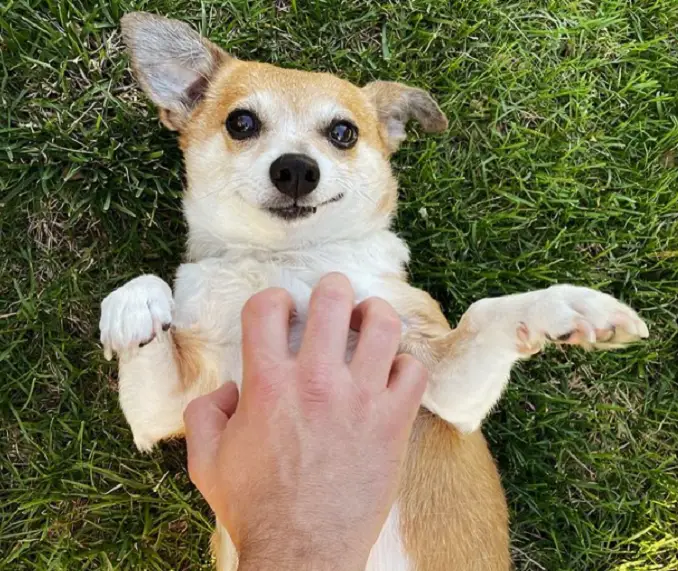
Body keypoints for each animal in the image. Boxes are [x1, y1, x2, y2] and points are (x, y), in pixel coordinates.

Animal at [99, 13, 648, 571]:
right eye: (241, 123)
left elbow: (484, 313)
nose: (296, 168)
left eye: (344, 133)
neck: (288, 262)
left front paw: (568, 304)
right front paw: (133, 307)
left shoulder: (447, 388)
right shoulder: (173, 408)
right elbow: (146, 319)